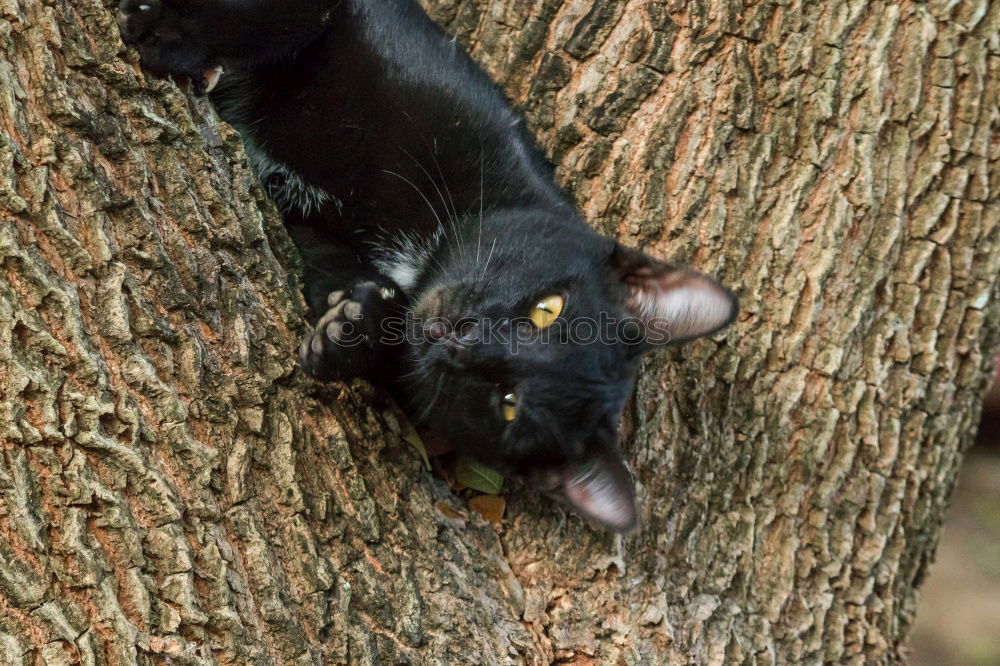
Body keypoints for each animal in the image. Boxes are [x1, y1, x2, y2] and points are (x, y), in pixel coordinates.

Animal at [119, 0, 744, 528]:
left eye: (508, 405)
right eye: (549, 308)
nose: (464, 340)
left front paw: (352, 332)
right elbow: (288, 13)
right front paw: (160, 28)